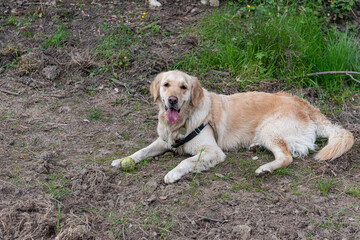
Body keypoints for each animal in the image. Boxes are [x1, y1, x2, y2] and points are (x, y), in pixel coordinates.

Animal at [112, 70, 354, 183]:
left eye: (183, 87)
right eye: (166, 85)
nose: (172, 100)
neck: (182, 123)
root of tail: (304, 103)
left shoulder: (213, 150)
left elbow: (187, 161)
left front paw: (173, 173)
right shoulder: (163, 141)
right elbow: (141, 151)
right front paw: (121, 160)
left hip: (269, 128)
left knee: (287, 156)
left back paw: (265, 168)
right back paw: (255, 147)